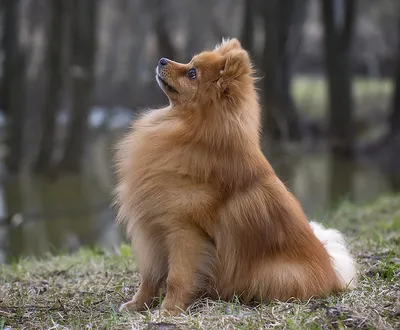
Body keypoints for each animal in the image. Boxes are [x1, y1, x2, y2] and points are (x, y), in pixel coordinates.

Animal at [114, 38, 358, 314]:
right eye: (189, 63)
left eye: (192, 73)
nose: (162, 59)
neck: (187, 131)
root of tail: (333, 273)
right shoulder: (153, 229)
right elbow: (149, 276)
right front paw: (138, 304)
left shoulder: (184, 232)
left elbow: (177, 277)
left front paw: (169, 310)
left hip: (274, 273)